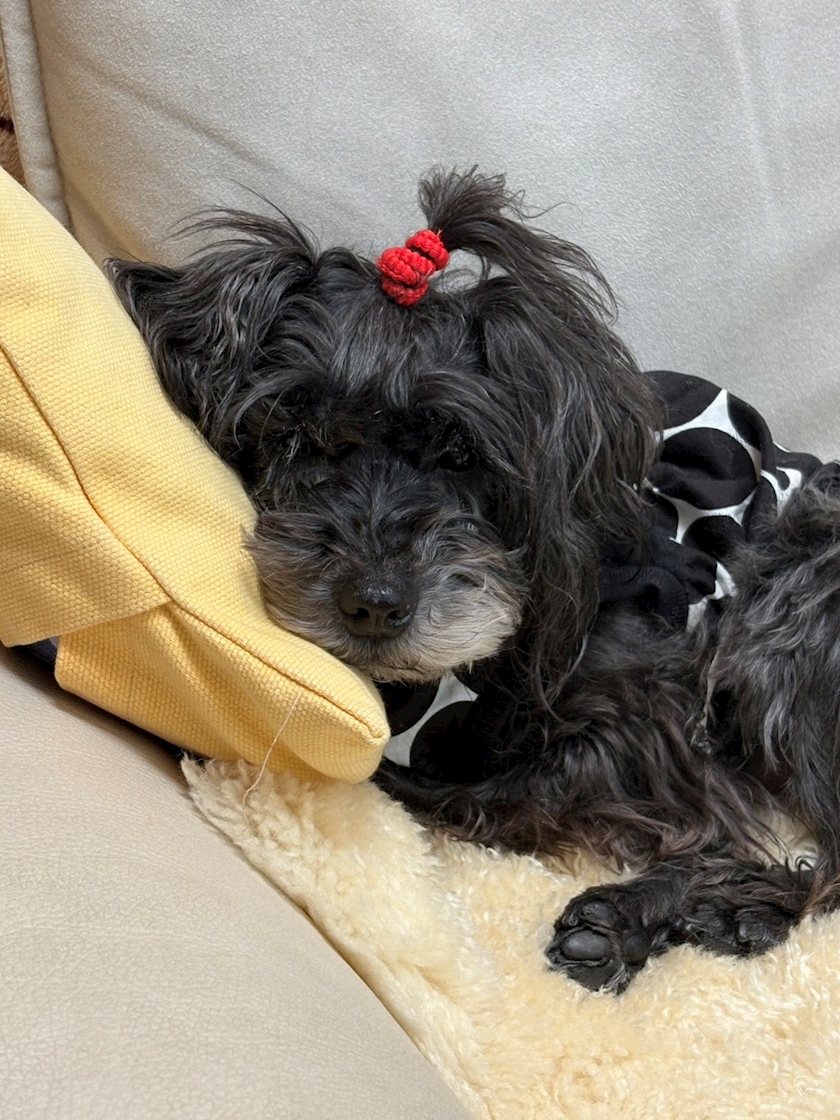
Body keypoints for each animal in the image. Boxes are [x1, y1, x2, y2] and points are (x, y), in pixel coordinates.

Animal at [109, 168, 840, 992]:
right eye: (294, 438)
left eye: (463, 455)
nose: (373, 605)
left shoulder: (653, 731)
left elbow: (498, 796)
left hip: (787, 622)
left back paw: (688, 912)